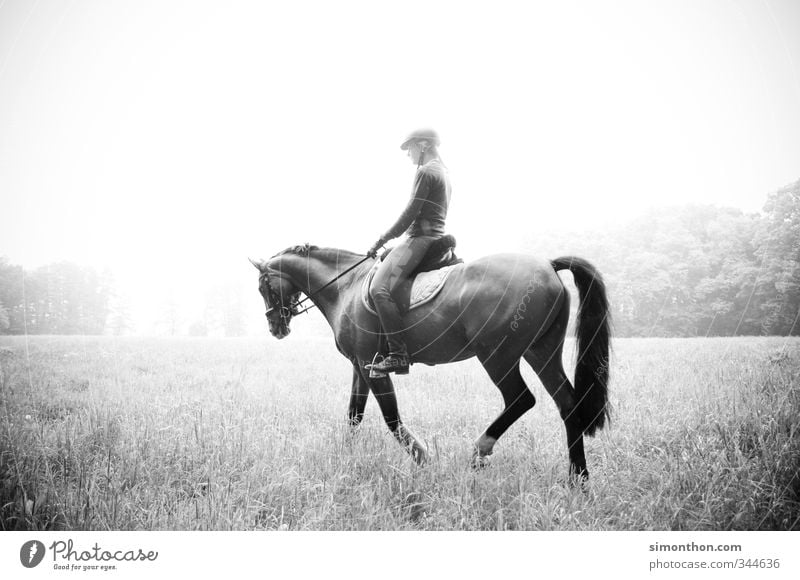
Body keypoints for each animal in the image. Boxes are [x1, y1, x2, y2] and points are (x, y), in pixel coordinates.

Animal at [252, 245, 612, 480]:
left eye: (263, 286)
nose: (275, 327)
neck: (346, 287)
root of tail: (548, 266)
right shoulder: (359, 365)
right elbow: (354, 414)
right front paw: (346, 456)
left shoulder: (372, 365)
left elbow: (391, 417)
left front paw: (423, 458)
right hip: (541, 351)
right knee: (567, 404)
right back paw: (578, 479)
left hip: (497, 355)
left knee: (521, 399)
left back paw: (479, 450)